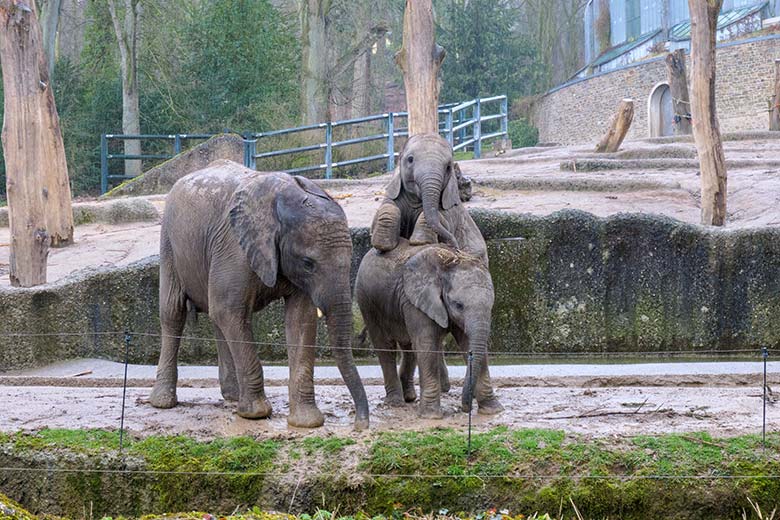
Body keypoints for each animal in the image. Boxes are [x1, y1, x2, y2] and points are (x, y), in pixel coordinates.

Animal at [152, 159, 372, 430]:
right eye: (308, 263)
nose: (360, 424)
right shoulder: (234, 248)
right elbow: (229, 310)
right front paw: (256, 413)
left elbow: (301, 319)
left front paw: (306, 422)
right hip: (169, 242)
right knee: (174, 312)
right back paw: (163, 402)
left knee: (216, 318)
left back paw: (233, 396)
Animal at [354, 239, 502, 418]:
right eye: (458, 305)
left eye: (491, 305)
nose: (465, 408)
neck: (449, 262)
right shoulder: (415, 300)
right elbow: (427, 344)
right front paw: (432, 415)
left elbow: (468, 344)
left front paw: (493, 410)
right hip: (367, 301)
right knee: (385, 346)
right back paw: (395, 403)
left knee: (409, 346)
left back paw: (409, 397)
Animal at [372, 132, 488, 266]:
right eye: (410, 159)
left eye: (448, 167)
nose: (455, 247)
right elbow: (386, 209)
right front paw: (382, 246)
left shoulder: (452, 211)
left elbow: (443, 219)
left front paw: (420, 242)